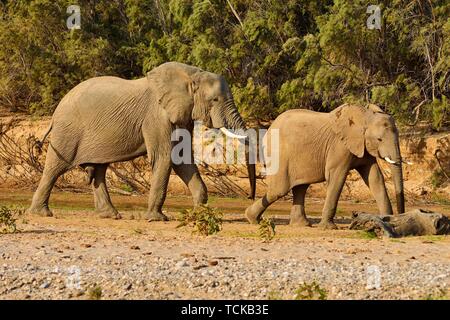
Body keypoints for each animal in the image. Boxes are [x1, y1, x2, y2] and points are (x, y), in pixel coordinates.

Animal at [28, 62, 256, 221]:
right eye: (215, 100)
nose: (250, 198)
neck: (191, 74)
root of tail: (56, 112)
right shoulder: (156, 117)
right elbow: (165, 157)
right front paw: (157, 219)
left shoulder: (181, 115)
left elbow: (182, 159)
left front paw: (199, 214)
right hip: (68, 132)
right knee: (55, 168)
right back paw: (42, 214)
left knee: (99, 170)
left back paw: (111, 215)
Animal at [244, 104, 406, 229]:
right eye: (379, 139)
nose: (401, 215)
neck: (365, 116)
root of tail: (270, 127)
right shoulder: (340, 146)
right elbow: (337, 177)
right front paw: (328, 228)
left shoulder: (363, 147)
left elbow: (375, 178)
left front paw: (387, 220)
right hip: (279, 153)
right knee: (279, 190)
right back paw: (252, 219)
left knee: (300, 188)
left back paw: (301, 225)